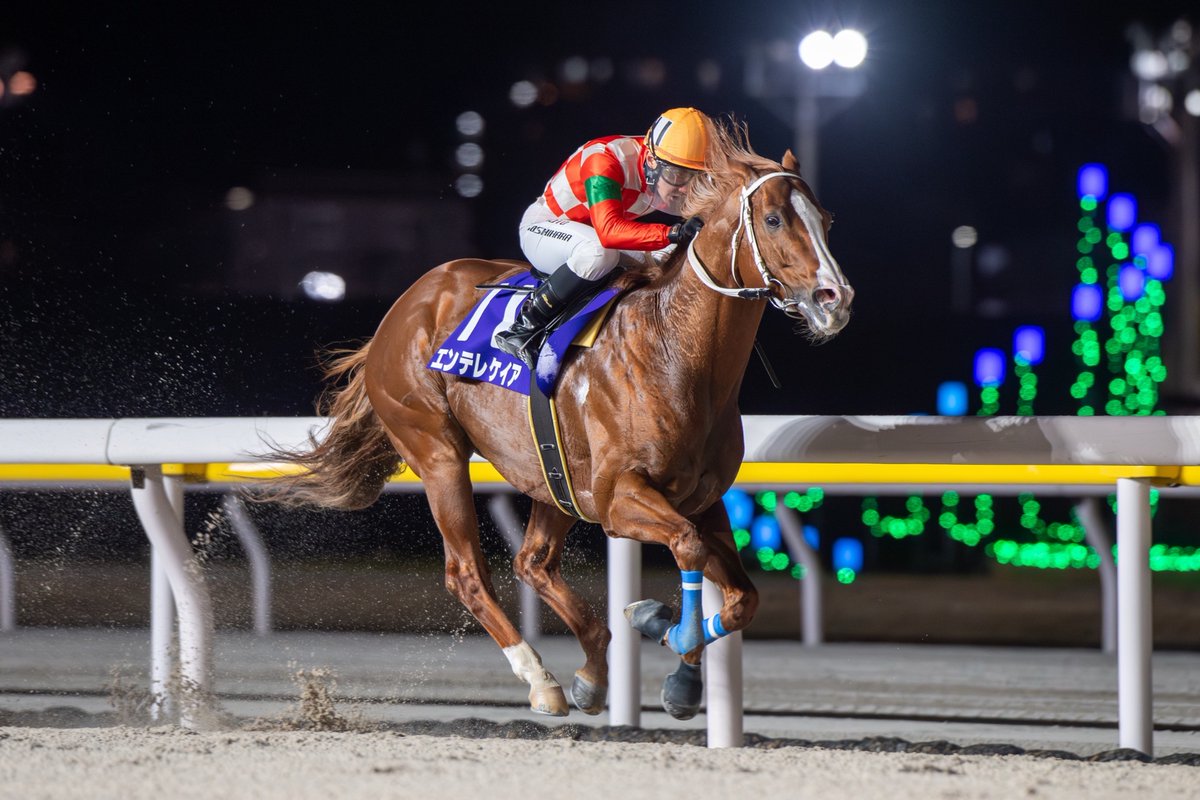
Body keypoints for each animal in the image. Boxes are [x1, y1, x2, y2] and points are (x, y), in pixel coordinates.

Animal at [260, 118, 853, 721]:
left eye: (826, 219)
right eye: (775, 219)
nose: (835, 297)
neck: (674, 352)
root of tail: (403, 308)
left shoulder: (702, 498)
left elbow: (741, 598)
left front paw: (678, 668)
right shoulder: (618, 496)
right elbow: (688, 546)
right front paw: (664, 630)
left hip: (551, 474)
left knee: (534, 564)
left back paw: (591, 673)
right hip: (436, 450)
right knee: (467, 573)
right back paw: (540, 679)